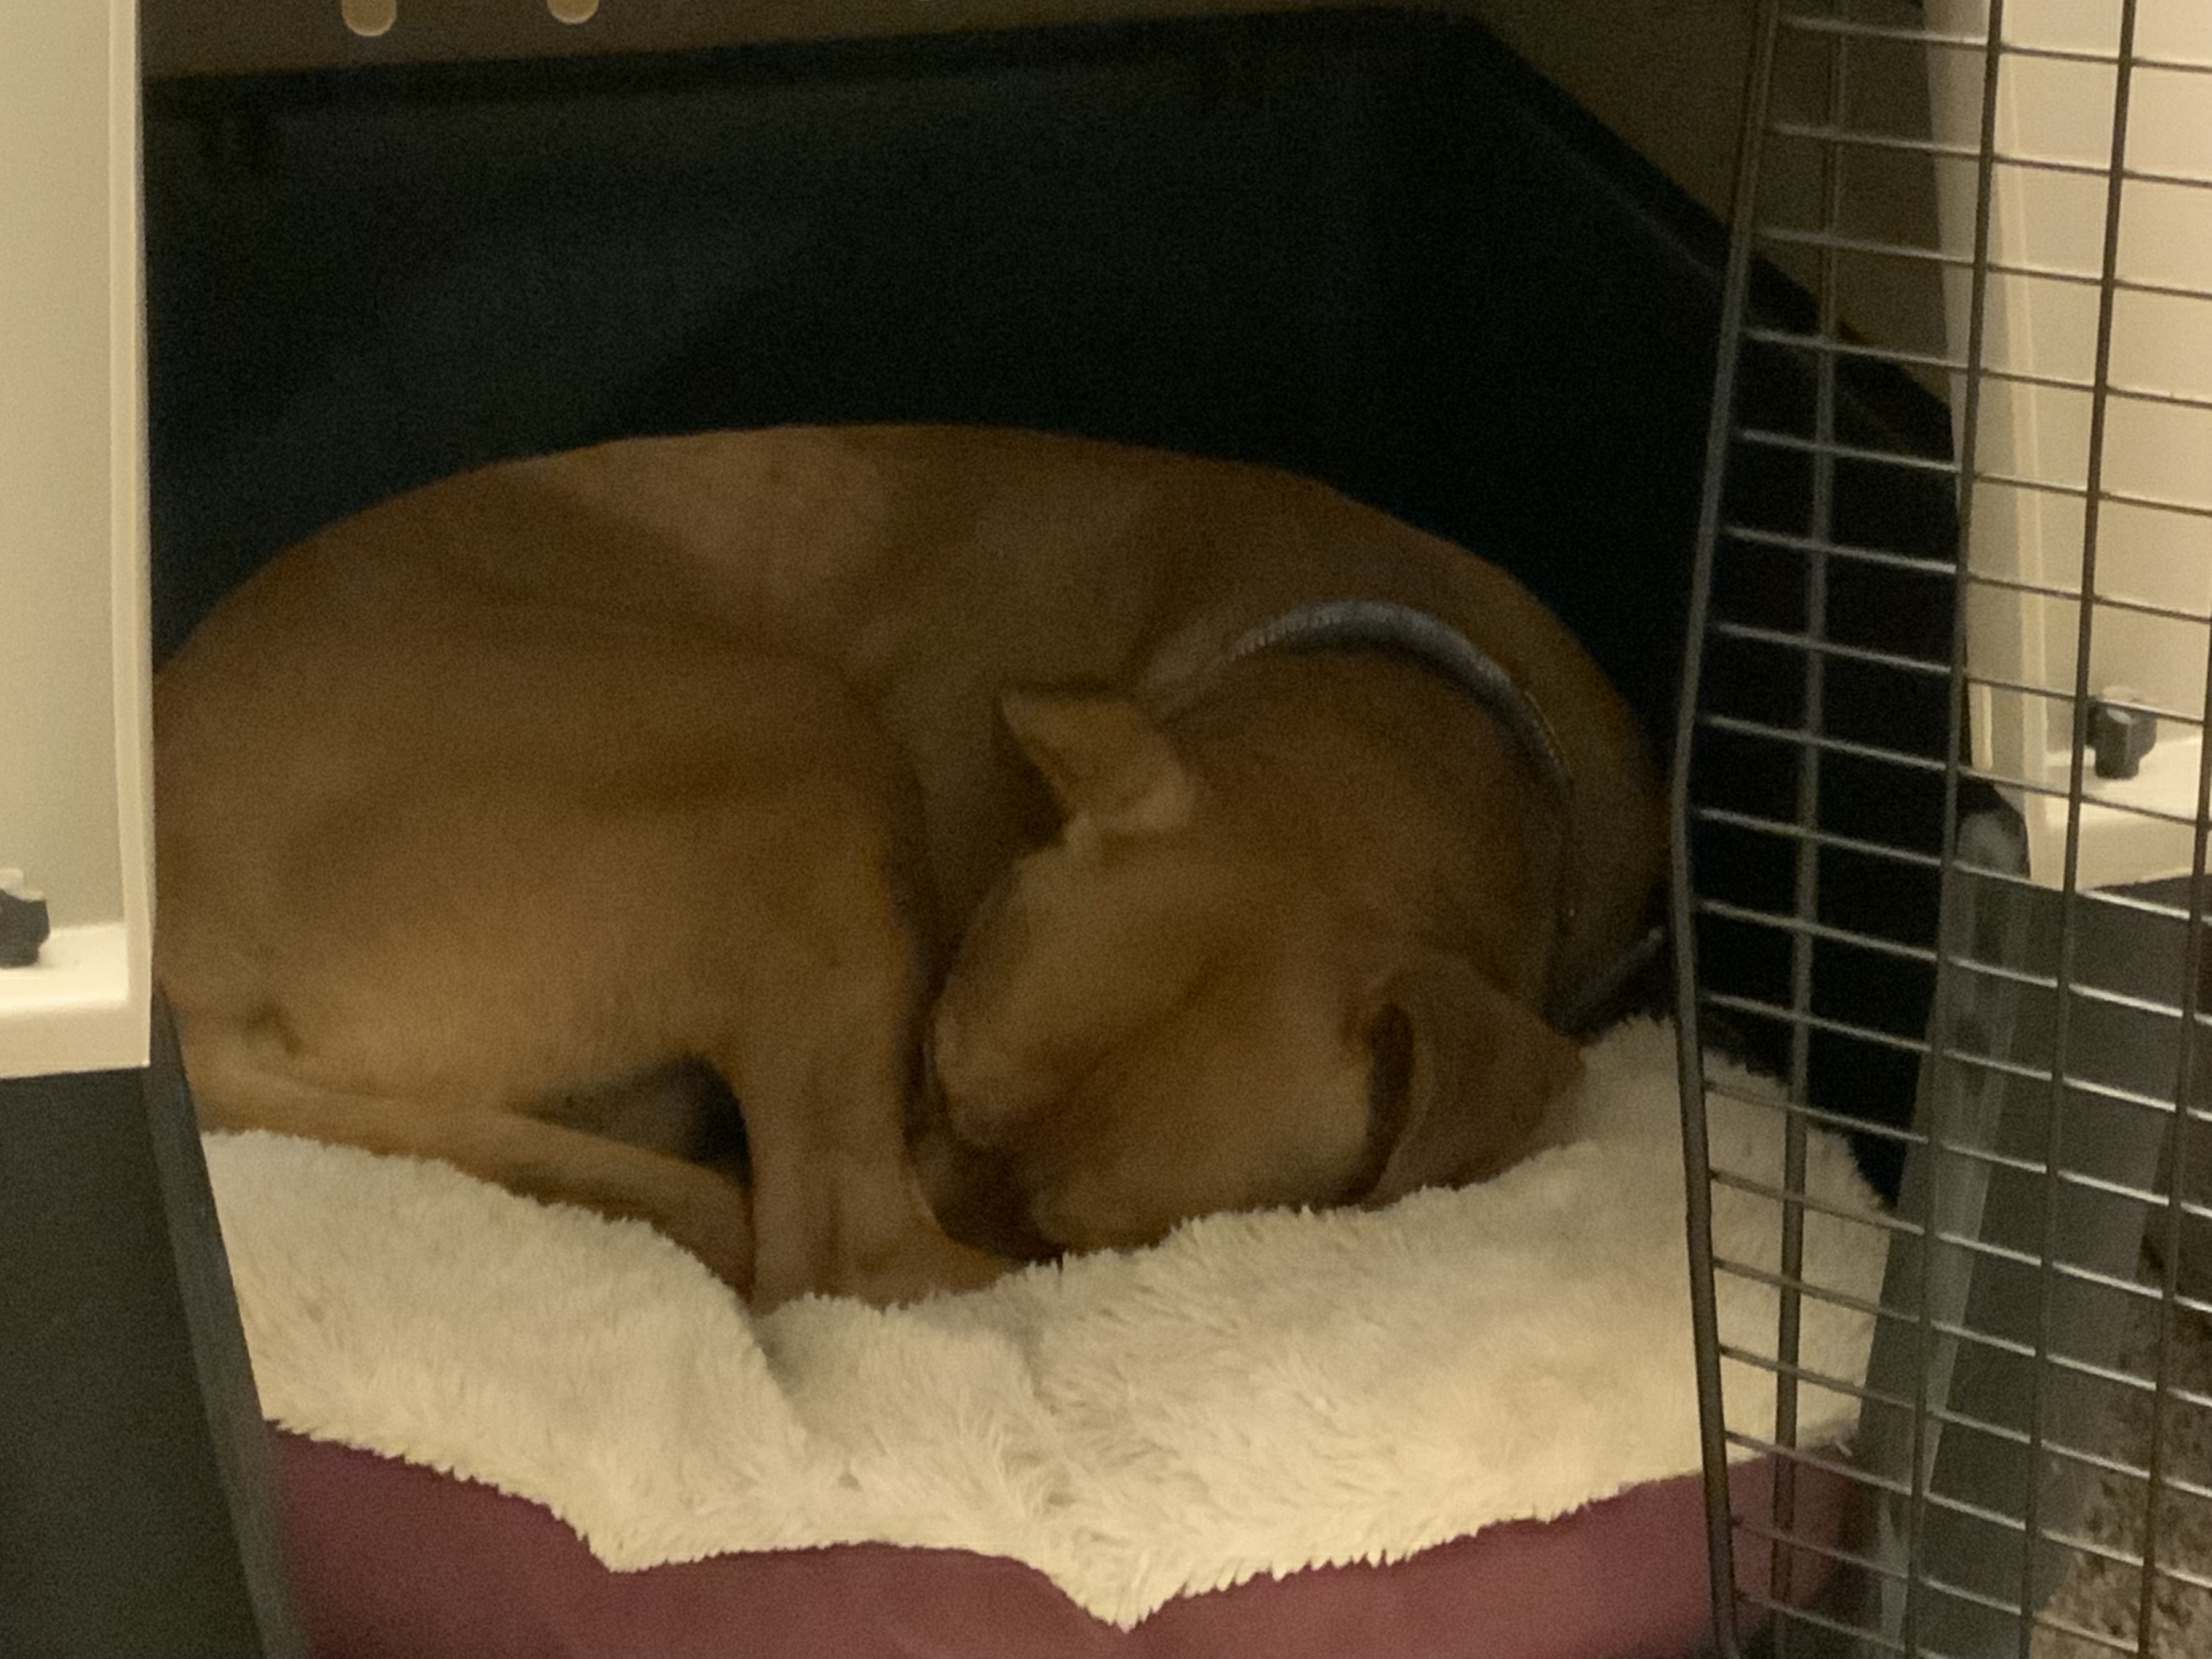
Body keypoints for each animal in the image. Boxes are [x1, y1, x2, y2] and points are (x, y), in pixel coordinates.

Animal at [156, 422, 1663, 1309]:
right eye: (931, 1065)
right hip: (801, 740)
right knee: (838, 1250)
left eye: (1087, 1238)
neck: (1410, 700)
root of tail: (189, 999)